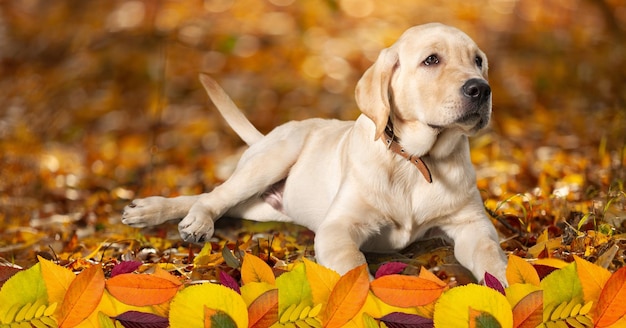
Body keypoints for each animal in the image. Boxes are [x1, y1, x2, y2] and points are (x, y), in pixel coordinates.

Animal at [122, 23, 508, 284]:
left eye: (478, 61)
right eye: (431, 60)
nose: (480, 89)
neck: (416, 160)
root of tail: (265, 138)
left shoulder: (472, 225)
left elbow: (492, 255)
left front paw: (508, 285)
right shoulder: (338, 228)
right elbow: (354, 269)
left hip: (260, 206)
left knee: (212, 199)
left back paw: (149, 210)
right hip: (274, 158)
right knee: (212, 198)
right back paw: (184, 220)